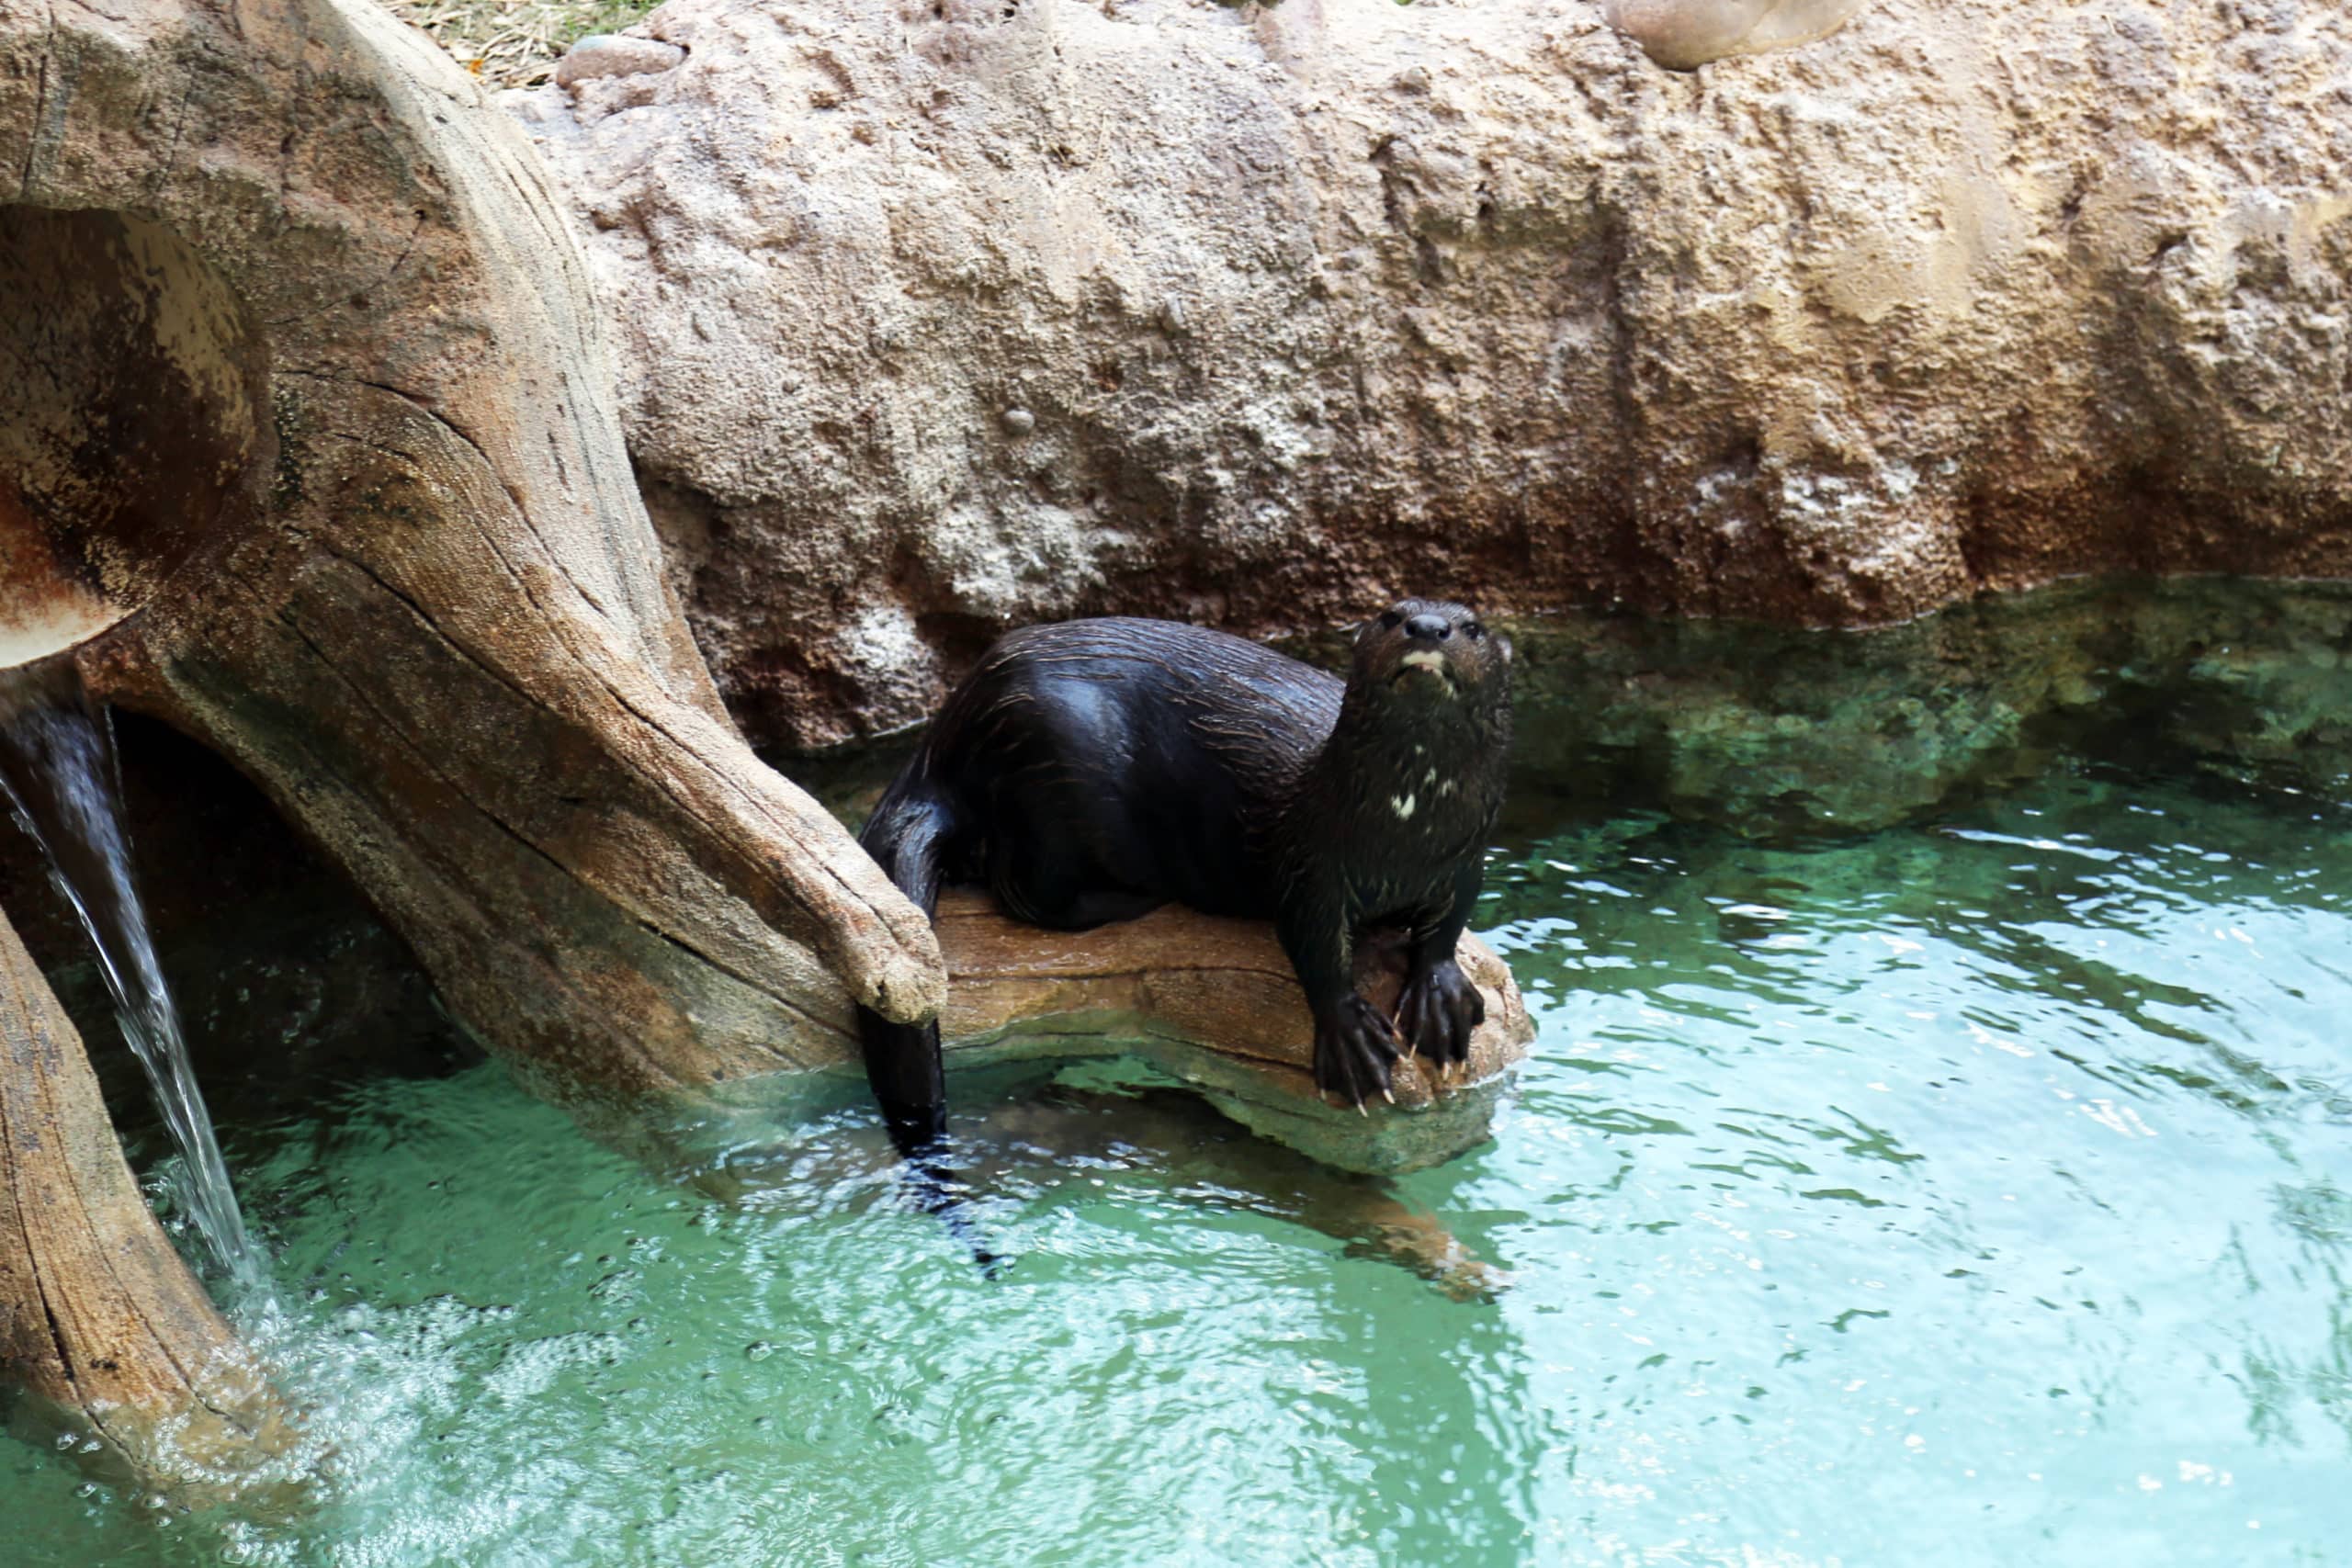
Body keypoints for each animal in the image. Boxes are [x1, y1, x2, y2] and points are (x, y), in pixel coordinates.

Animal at [856, 599, 1513, 1157]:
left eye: (1471, 626)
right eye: (1390, 616)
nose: (1427, 628)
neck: (1406, 833)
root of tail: (951, 727)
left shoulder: (1467, 858)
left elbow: (1446, 928)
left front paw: (1440, 995)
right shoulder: (1313, 866)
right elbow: (1314, 944)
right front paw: (1350, 1032)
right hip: (1051, 771)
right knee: (1021, 892)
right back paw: (1136, 898)